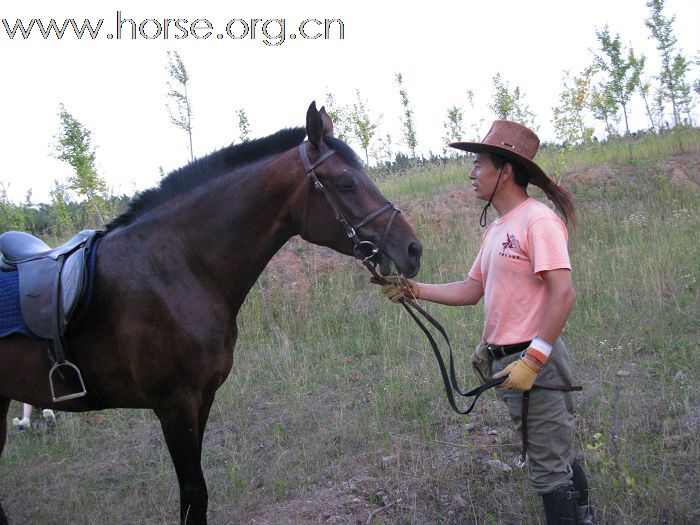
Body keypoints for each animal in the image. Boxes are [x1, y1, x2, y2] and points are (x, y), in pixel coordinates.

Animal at [0, 103, 422, 524]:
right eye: (346, 183)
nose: (413, 250)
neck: (174, 269)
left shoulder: (201, 398)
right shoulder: (174, 404)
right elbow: (193, 493)